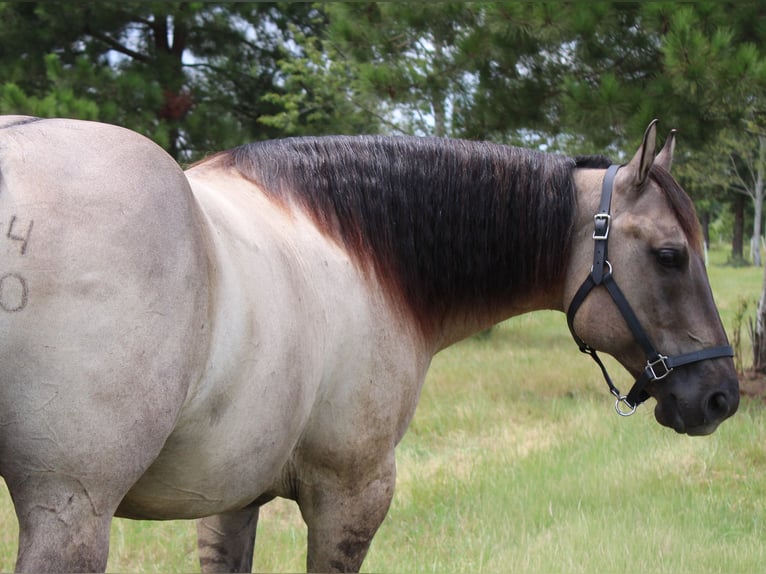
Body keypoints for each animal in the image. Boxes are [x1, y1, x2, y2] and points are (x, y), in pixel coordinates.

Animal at [0, 116, 738, 572]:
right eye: (671, 256)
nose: (722, 398)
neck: (363, 254)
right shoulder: (352, 495)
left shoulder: (231, 501)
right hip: (72, 514)